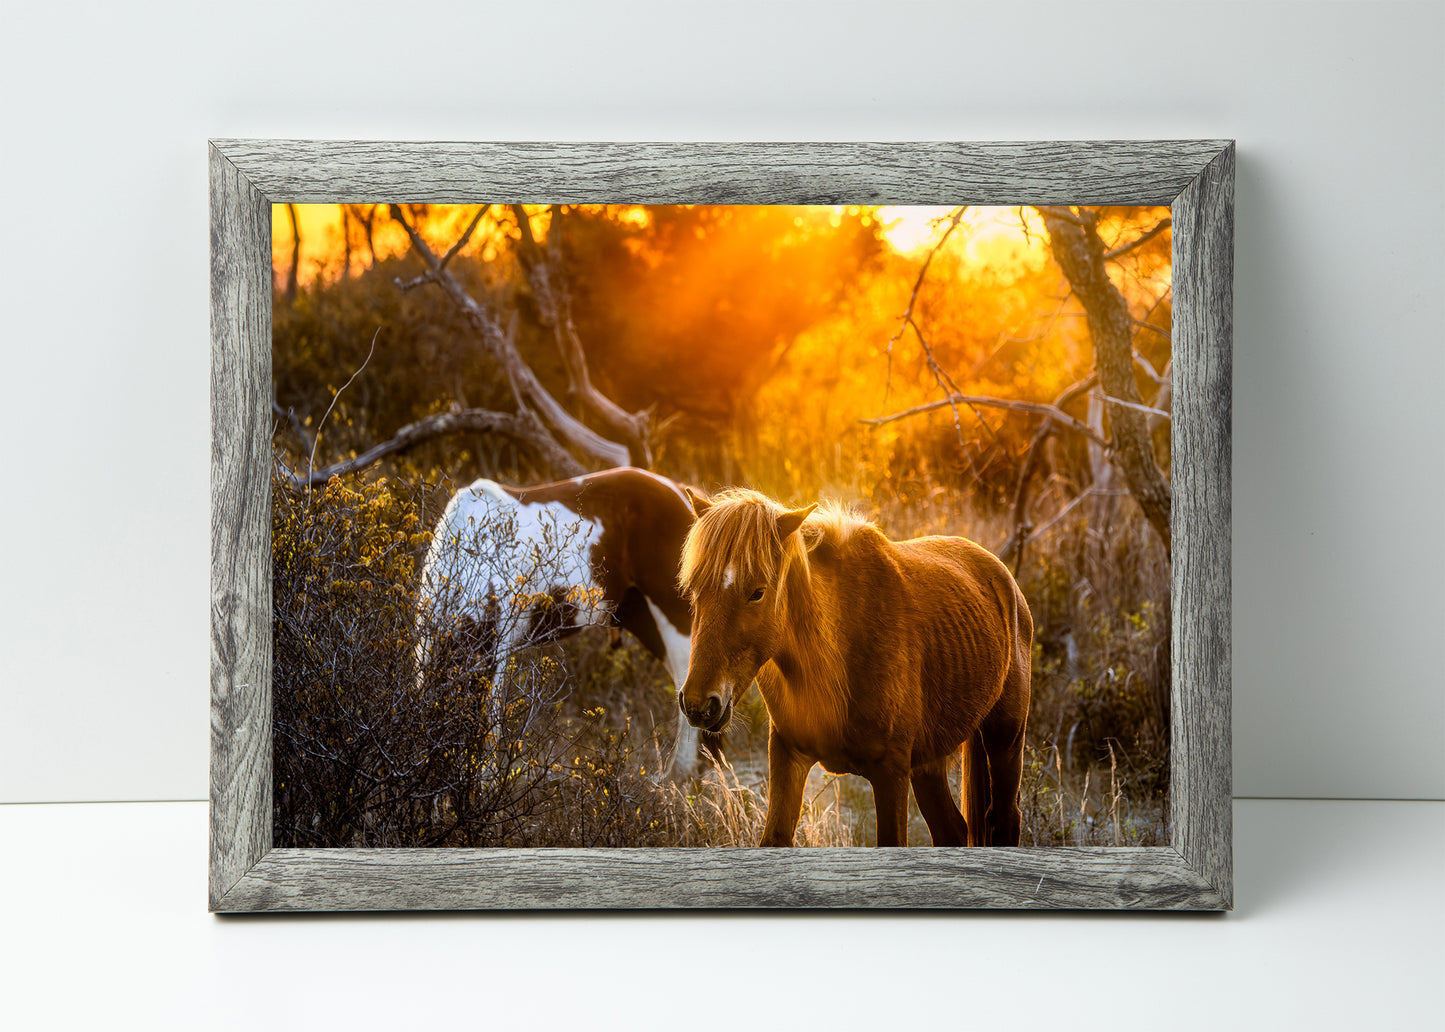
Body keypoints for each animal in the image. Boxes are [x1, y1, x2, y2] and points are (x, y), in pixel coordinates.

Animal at [415, 466, 710, 775]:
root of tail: (683, 495)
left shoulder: (494, 655)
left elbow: (488, 732)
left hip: (675, 617)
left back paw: (681, 773)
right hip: (643, 616)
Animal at [677, 488, 1032, 846]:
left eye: (758, 592)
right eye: (695, 588)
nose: (699, 704)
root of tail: (1000, 574)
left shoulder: (891, 773)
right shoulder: (788, 756)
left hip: (1005, 739)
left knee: (1005, 819)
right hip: (929, 761)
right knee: (952, 830)